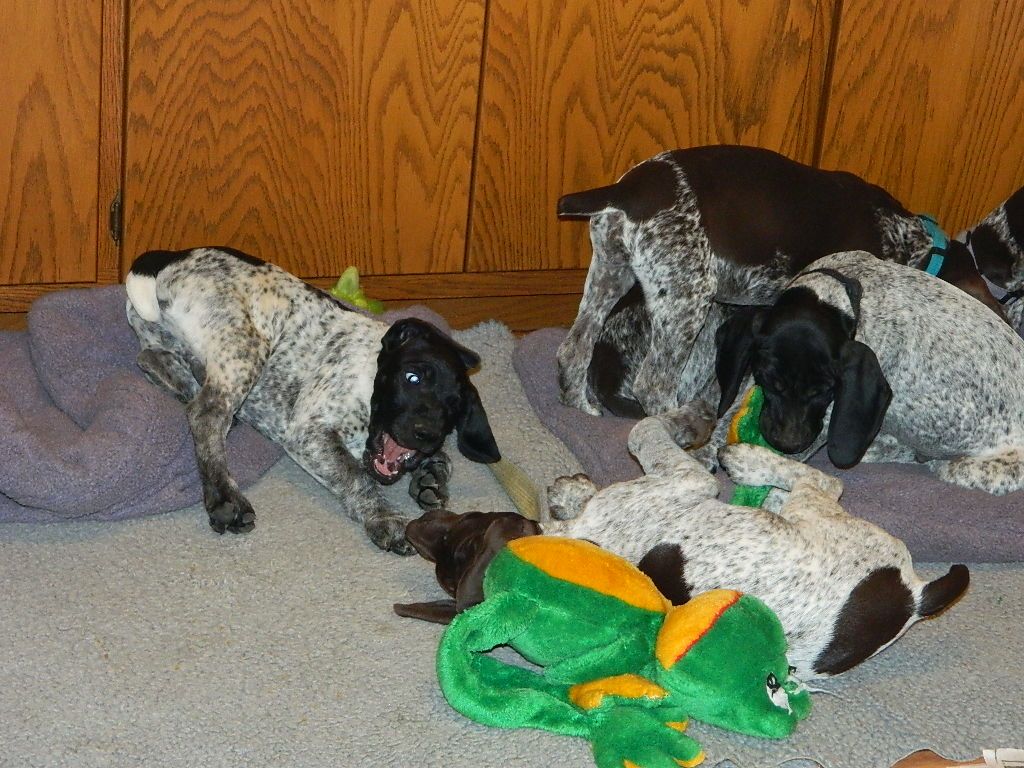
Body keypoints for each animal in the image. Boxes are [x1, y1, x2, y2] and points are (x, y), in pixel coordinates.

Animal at [125, 247, 501, 553]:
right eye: (413, 377)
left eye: (454, 406)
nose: (425, 432)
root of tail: (168, 256)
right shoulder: (310, 435)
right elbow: (357, 477)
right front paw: (384, 518)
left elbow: (441, 458)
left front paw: (429, 476)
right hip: (247, 344)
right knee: (206, 414)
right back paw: (224, 498)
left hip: (174, 340)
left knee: (153, 359)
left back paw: (186, 383)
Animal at [542, 409, 970, 679]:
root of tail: (914, 599)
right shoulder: (688, 481)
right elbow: (642, 430)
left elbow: (643, 429)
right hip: (819, 516)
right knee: (823, 481)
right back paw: (750, 464)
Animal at [556, 144, 1015, 420]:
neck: (913, 242)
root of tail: (627, 189)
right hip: (687, 297)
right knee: (654, 383)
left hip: (610, 273)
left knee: (573, 349)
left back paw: (579, 405)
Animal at [715, 250, 1024, 494]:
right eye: (769, 381)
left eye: (825, 391)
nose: (788, 443)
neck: (841, 292)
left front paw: (750, 462)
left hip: (964, 467)